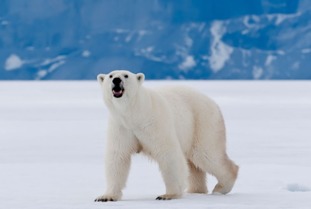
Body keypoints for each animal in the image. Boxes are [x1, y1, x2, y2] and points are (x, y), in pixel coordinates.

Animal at [96, 71, 240, 202]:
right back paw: (195, 190)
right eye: (110, 75)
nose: (116, 80)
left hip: (202, 122)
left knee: (207, 154)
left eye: (125, 75)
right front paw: (106, 197)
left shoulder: (154, 123)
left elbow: (168, 153)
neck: (134, 114)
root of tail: (212, 101)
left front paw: (168, 195)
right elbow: (118, 156)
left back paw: (221, 187)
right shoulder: (121, 127)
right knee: (194, 165)